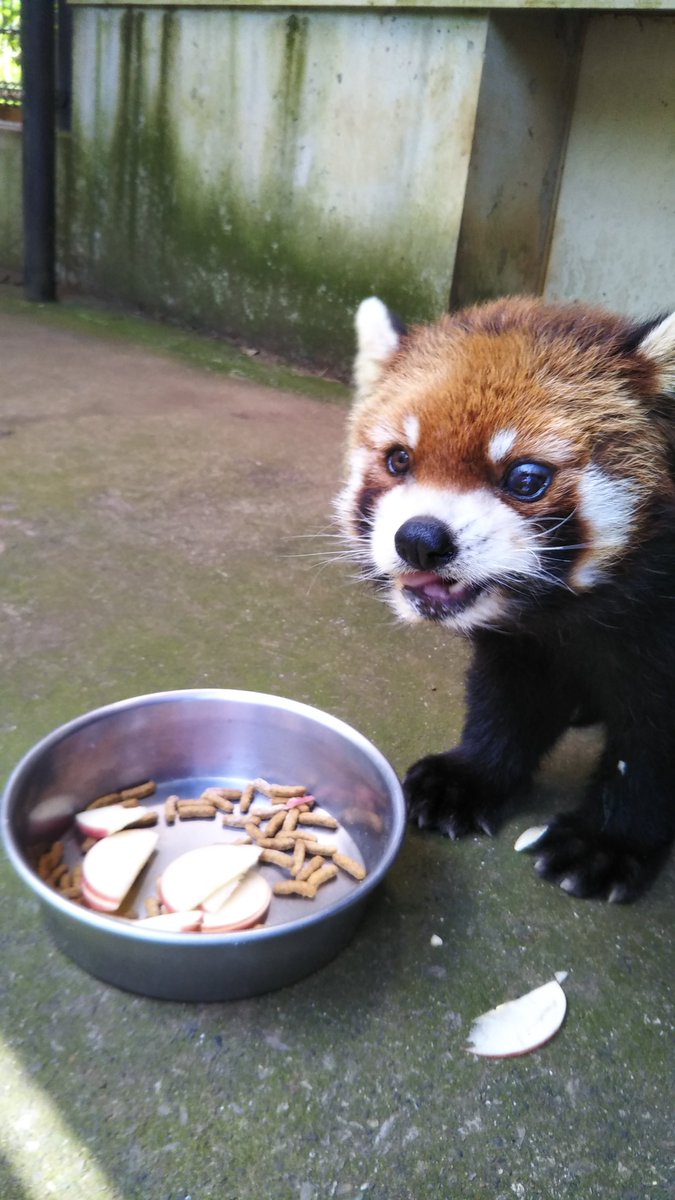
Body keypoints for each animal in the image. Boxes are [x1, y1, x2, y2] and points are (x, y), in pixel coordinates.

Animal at [338, 295, 672, 902]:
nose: (419, 540)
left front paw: (605, 843)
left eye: (525, 478)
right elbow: (510, 699)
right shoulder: (525, 643)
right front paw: (468, 780)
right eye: (400, 460)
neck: (569, 614)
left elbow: (651, 746)